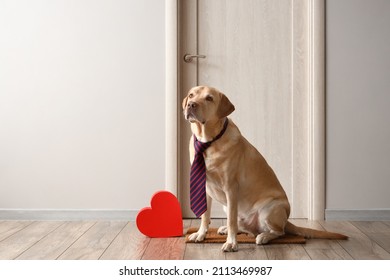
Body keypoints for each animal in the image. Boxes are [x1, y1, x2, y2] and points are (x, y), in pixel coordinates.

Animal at [183, 85, 348, 252]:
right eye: (191, 95)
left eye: (209, 98)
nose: (190, 104)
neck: (208, 141)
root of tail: (286, 220)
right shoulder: (203, 186)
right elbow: (205, 215)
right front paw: (201, 234)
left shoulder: (231, 188)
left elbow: (231, 221)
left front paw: (231, 243)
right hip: (232, 209)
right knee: (245, 227)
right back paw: (227, 230)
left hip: (269, 210)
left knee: (278, 232)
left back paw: (263, 236)